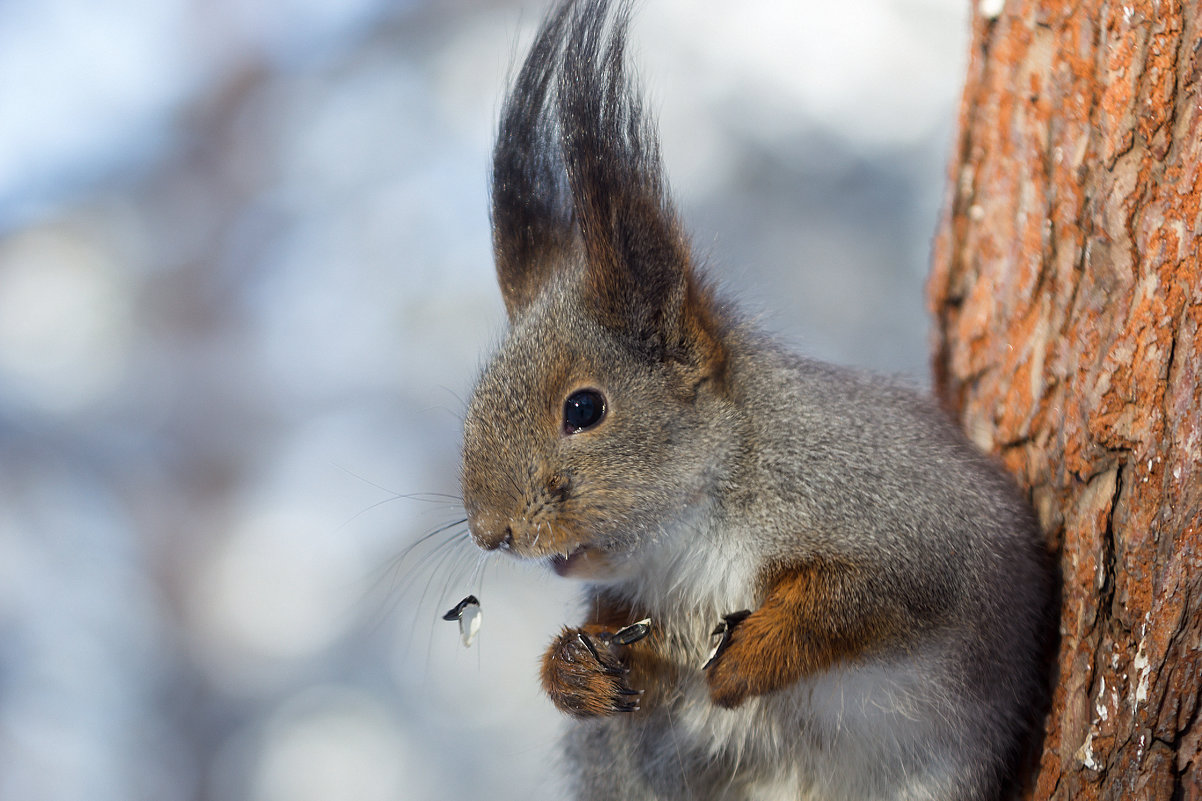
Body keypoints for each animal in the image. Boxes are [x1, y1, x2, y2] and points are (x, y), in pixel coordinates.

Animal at [456, 3, 1052, 793]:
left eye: (584, 408)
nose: (491, 531)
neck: (690, 535)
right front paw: (574, 668)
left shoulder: (908, 518)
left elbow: (862, 597)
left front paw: (748, 658)